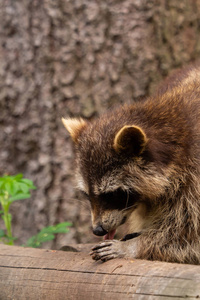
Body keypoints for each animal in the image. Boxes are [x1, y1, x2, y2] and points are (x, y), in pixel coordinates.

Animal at [63, 64, 200, 264]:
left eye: (113, 194)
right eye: (87, 195)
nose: (98, 230)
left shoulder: (194, 177)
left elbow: (188, 236)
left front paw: (132, 246)